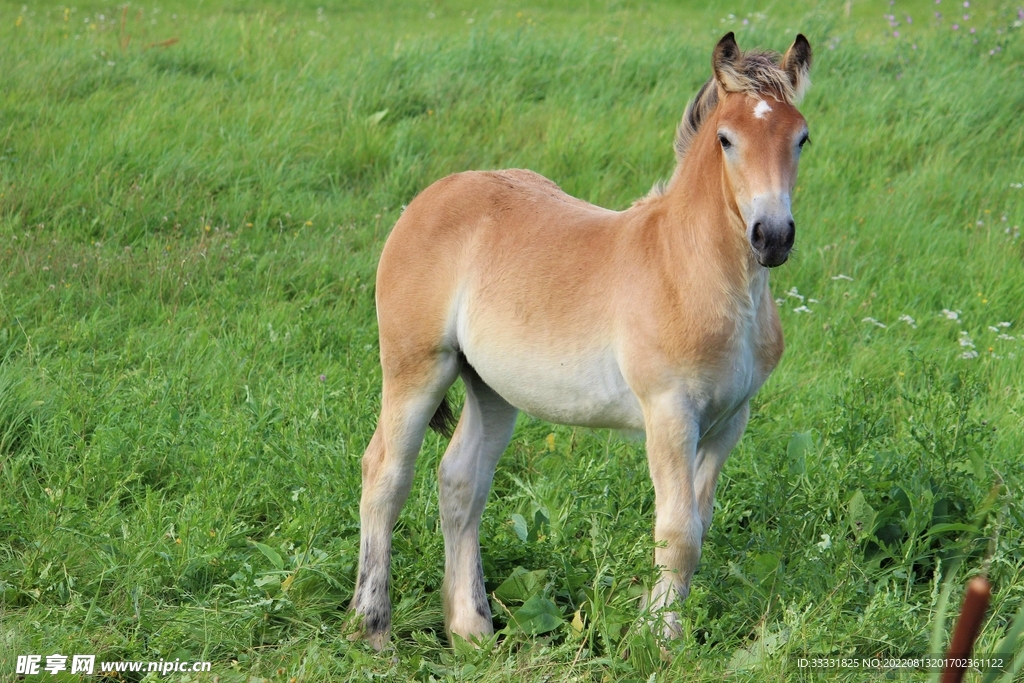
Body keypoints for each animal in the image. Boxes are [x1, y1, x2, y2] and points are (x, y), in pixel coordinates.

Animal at [350, 31, 812, 648]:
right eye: (726, 139)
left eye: (801, 137)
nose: (773, 237)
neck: (694, 270)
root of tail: (432, 195)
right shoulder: (669, 413)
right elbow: (678, 533)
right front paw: (658, 642)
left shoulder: (730, 419)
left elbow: (700, 520)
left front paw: (660, 628)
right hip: (415, 367)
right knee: (384, 475)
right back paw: (374, 629)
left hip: (493, 388)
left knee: (461, 482)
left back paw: (472, 630)